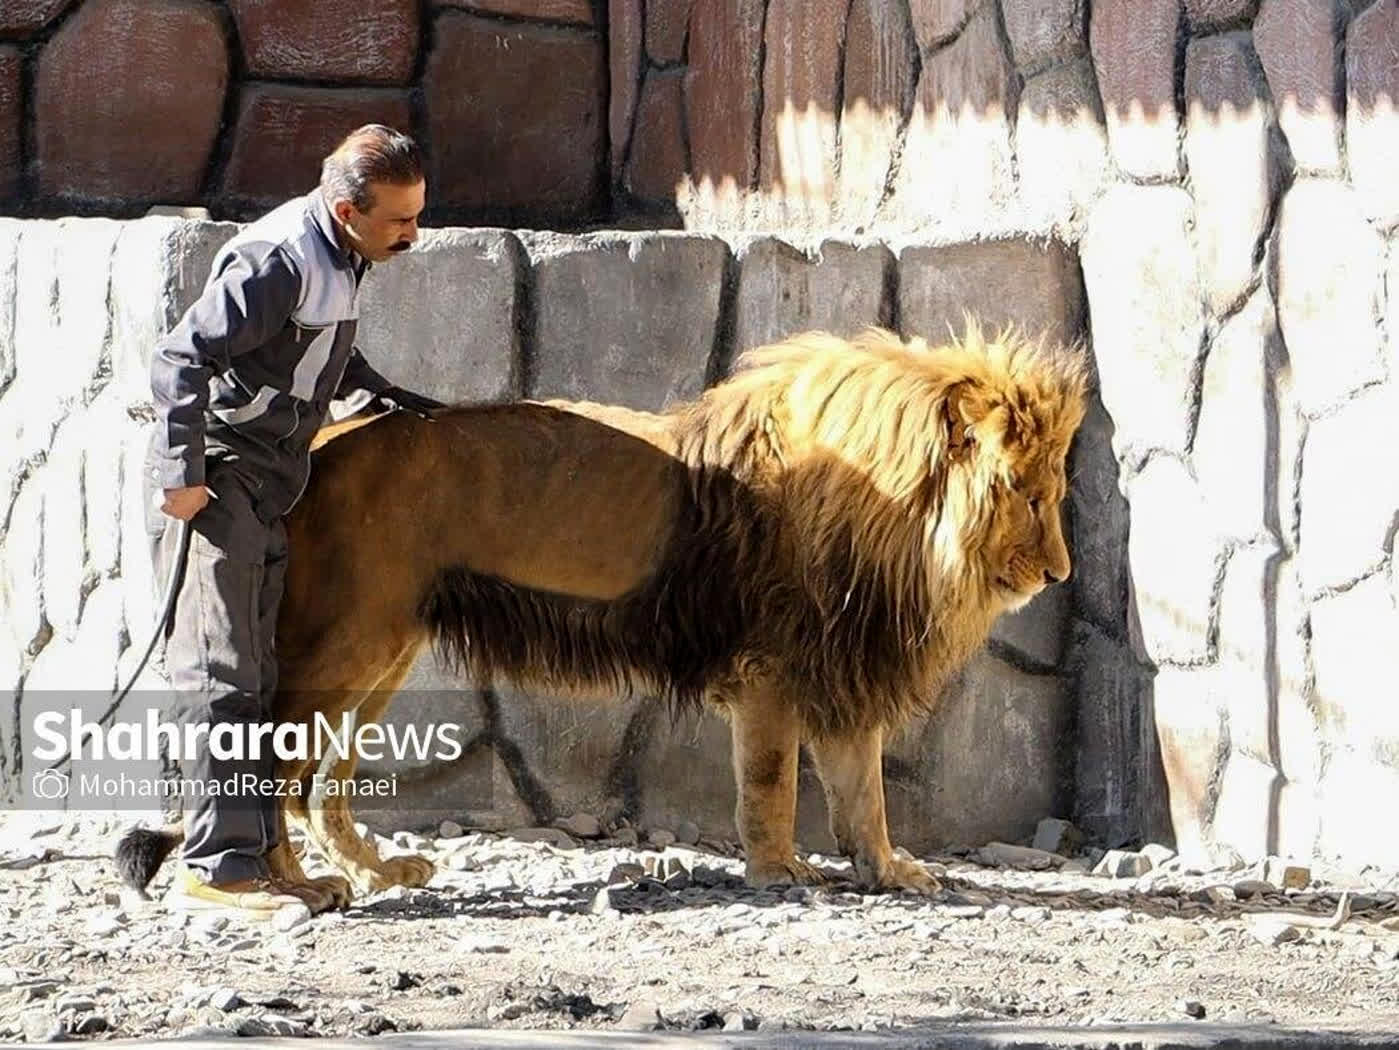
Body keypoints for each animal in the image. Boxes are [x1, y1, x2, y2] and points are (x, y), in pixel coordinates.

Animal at [114, 327, 1085, 911]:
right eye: (1029, 494)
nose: (1059, 572)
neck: (898, 521)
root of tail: (320, 439)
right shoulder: (773, 668)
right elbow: (773, 785)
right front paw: (782, 873)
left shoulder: (840, 665)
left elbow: (862, 789)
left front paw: (890, 870)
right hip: (342, 641)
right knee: (269, 763)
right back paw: (291, 887)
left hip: (384, 646)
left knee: (315, 783)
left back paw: (377, 870)